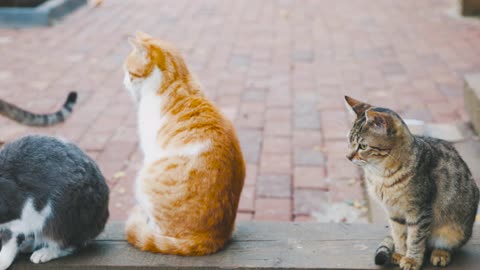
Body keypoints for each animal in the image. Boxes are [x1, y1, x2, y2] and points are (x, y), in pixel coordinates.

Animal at [0, 134, 109, 268]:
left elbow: (9, 240)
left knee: (66, 245)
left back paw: (42, 254)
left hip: (61, 219)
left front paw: (2, 262)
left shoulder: (18, 218)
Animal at [122, 31, 246, 255]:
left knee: (159, 230)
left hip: (144, 176)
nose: (124, 83)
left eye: (130, 73)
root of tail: (213, 237)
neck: (177, 79)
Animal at [344, 96, 480, 268]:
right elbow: (399, 235)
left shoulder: (419, 211)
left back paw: (441, 253)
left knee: (446, 245)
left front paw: (412, 259)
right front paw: (401, 253)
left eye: (362, 146)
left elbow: (415, 238)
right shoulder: (394, 213)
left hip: (456, 230)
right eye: (349, 141)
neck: (380, 175)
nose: (348, 157)